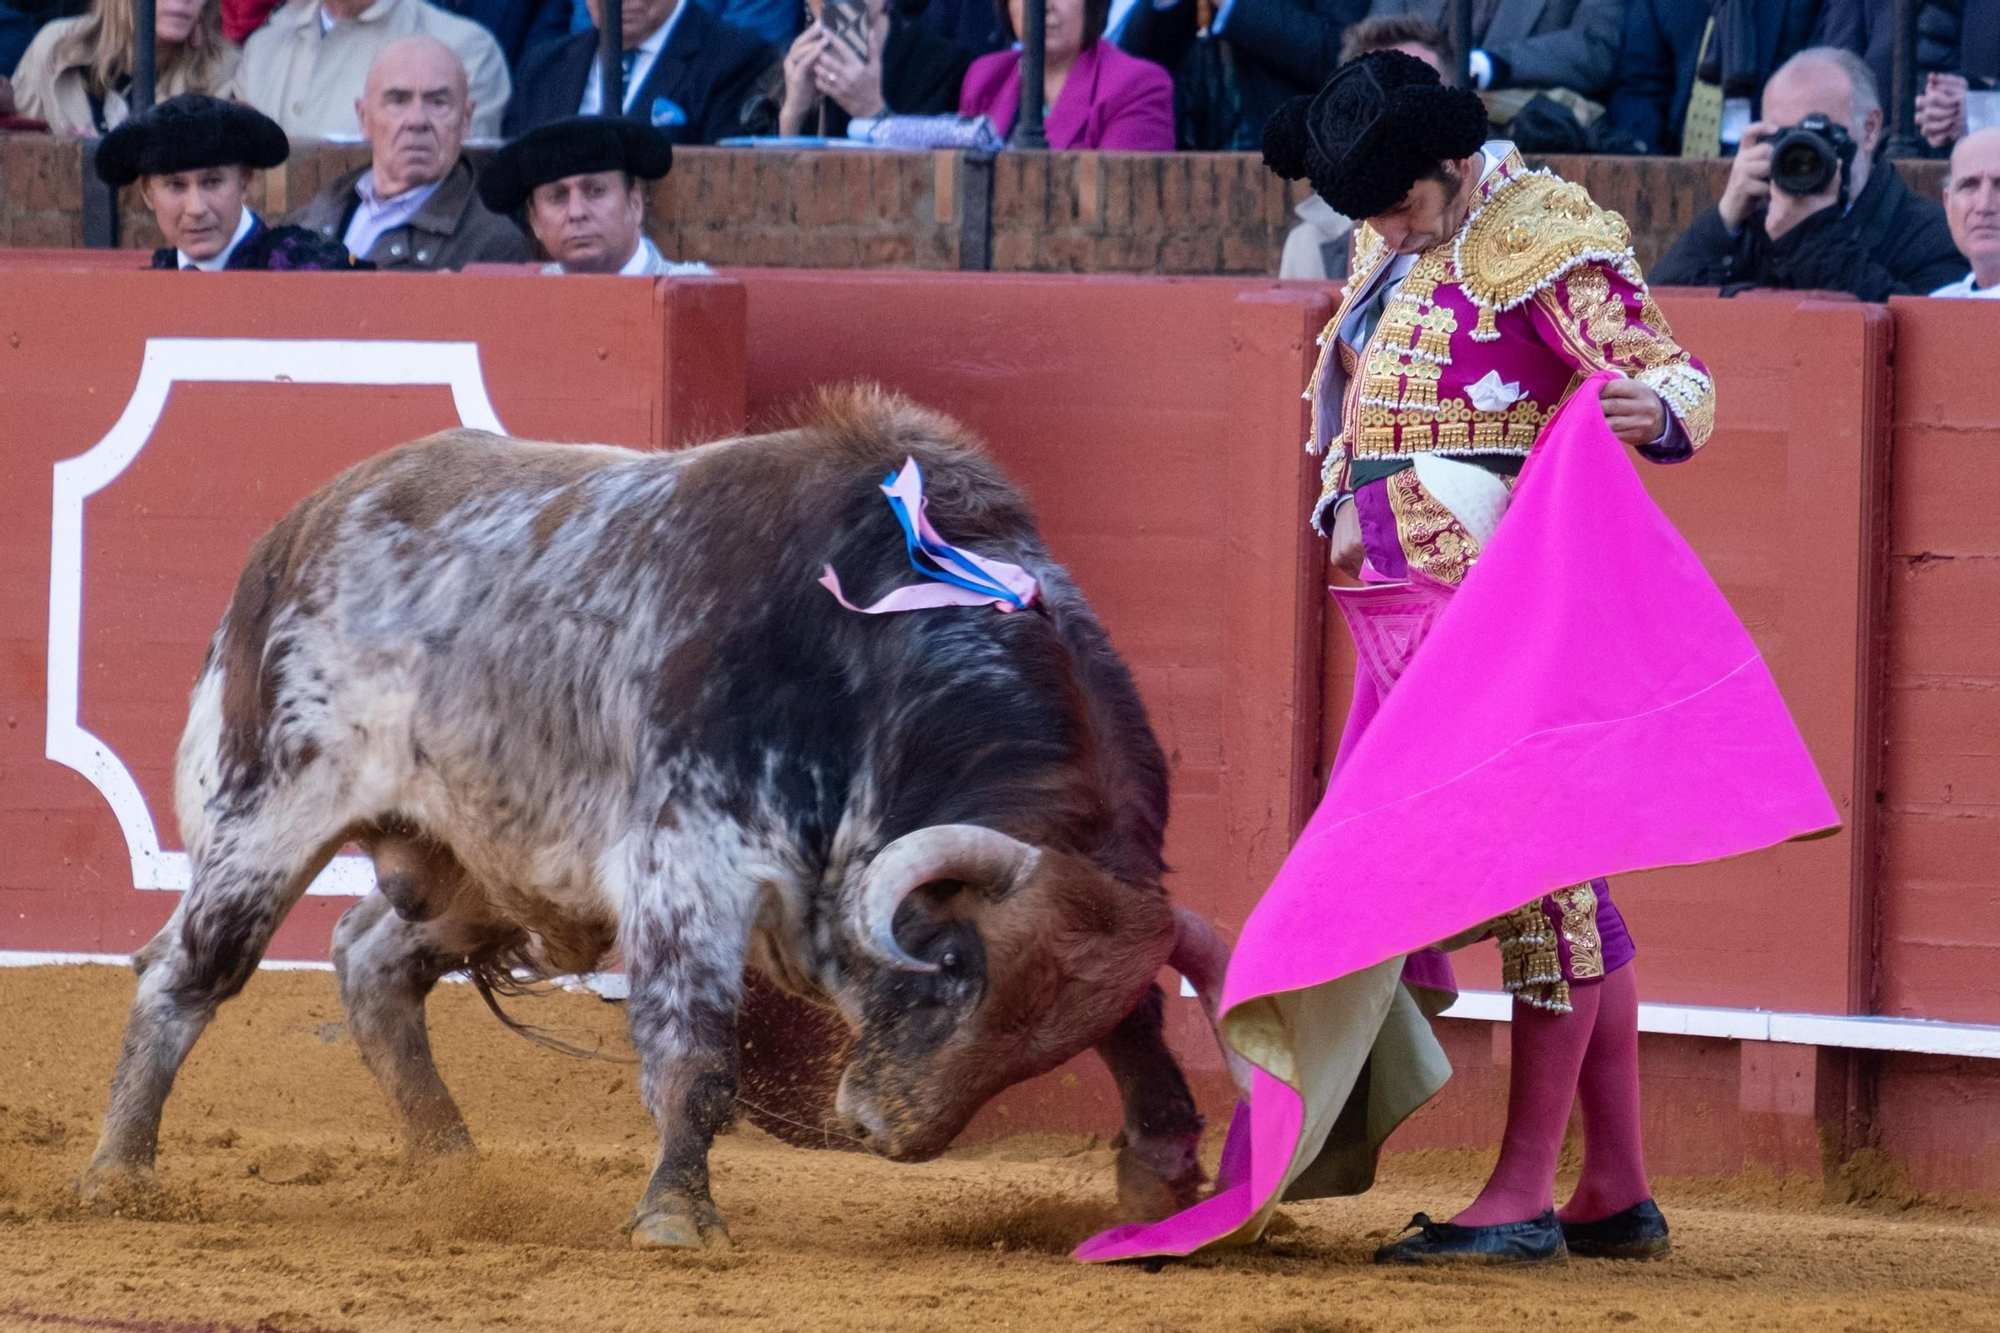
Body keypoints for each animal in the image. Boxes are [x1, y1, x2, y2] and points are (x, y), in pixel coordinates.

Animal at [86, 386, 1240, 1248]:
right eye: (951, 965)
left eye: (1046, 1033)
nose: (886, 1129)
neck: (867, 654)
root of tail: (304, 522)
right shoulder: (688, 872)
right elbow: (698, 1055)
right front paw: (678, 1215)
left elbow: (1140, 1024)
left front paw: (1161, 1169)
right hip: (265, 814)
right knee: (184, 974)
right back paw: (118, 1174)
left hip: (483, 860)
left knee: (370, 959)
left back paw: (450, 1168)